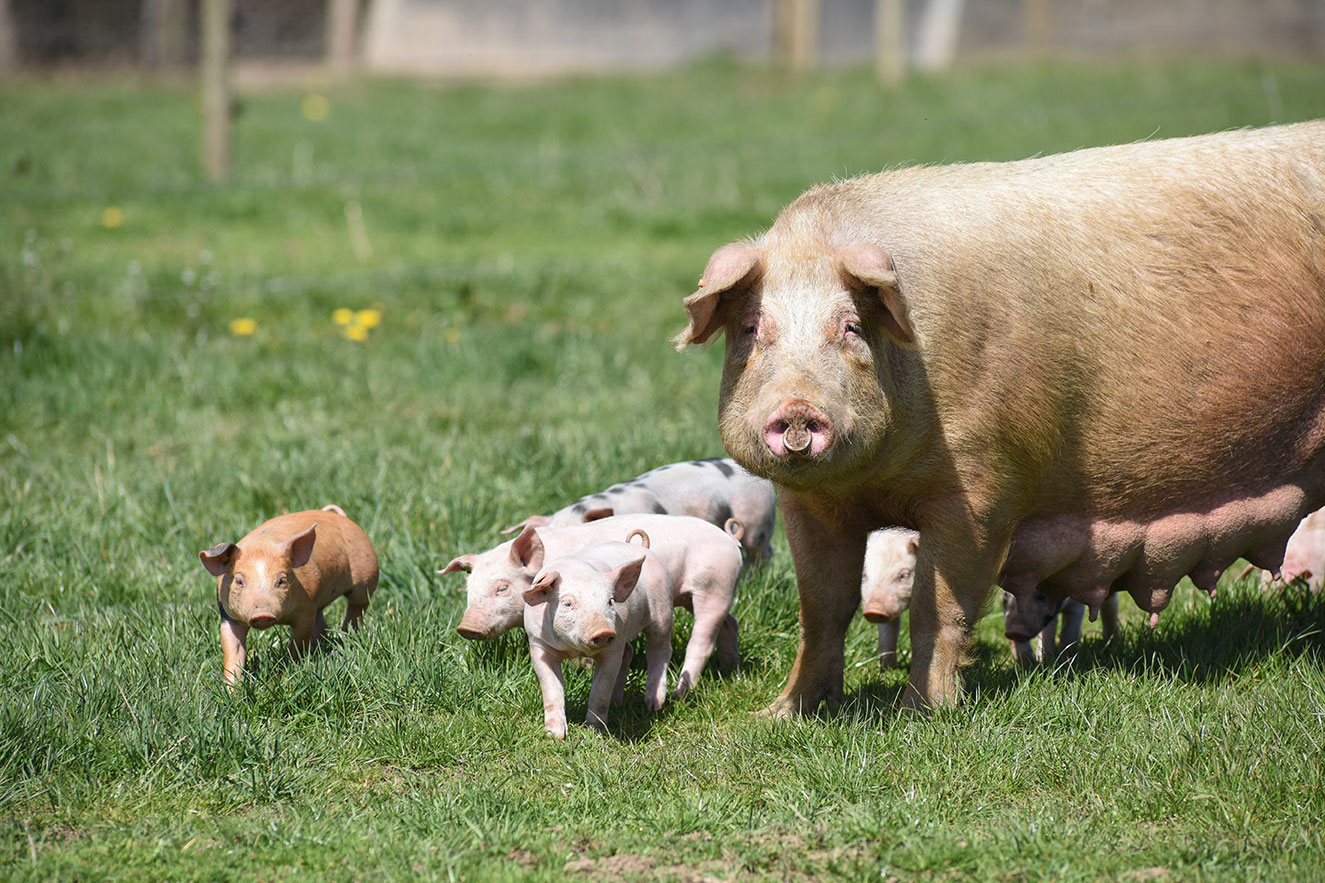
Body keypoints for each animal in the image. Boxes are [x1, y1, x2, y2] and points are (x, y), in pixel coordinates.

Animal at [200, 501, 378, 678]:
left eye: (282, 581)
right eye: (238, 581)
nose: (262, 614)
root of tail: (341, 517)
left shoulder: (306, 608)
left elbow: (298, 642)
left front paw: (290, 669)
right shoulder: (228, 616)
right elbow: (232, 651)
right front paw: (232, 685)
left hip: (366, 578)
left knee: (356, 608)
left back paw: (347, 635)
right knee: (322, 621)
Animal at [522, 535, 673, 737]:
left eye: (610, 601)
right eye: (567, 603)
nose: (604, 631)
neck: (574, 649)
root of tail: (643, 547)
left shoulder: (612, 649)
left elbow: (600, 690)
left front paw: (595, 731)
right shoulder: (538, 644)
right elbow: (552, 689)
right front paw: (555, 735)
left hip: (663, 609)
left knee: (660, 650)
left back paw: (654, 705)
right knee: (630, 651)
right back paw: (617, 702)